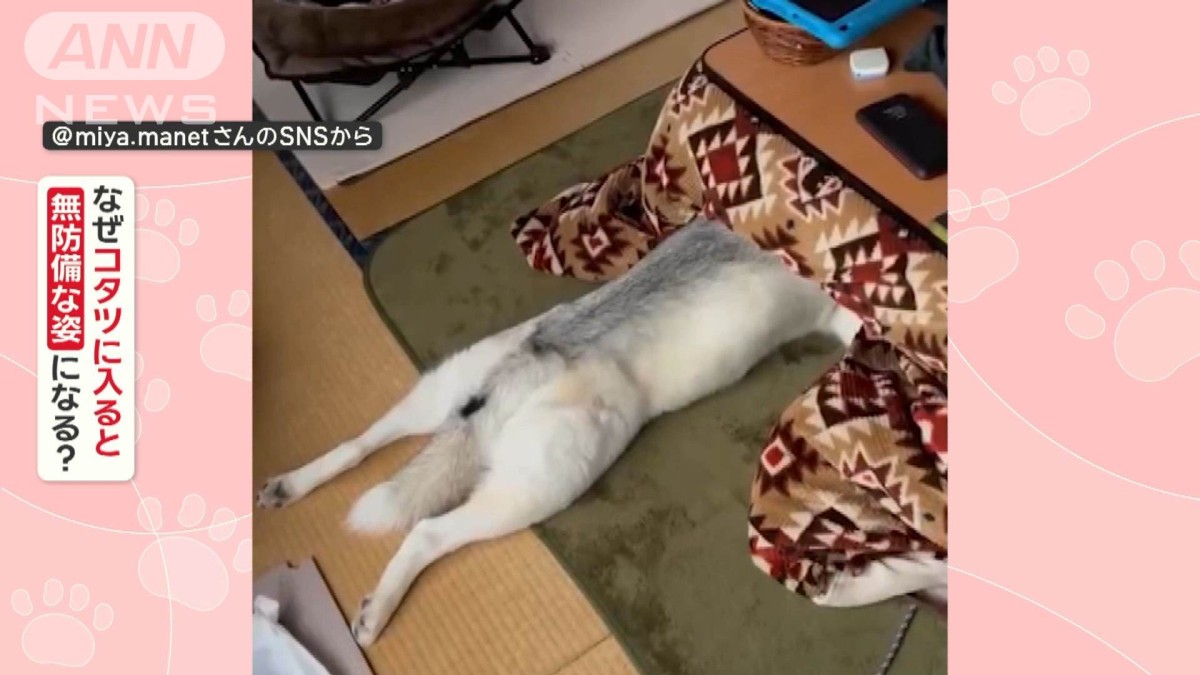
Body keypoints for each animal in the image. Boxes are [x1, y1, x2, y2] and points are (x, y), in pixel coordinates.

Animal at [256, 218, 865, 646]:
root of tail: (532, 365)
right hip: (543, 480)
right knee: (427, 532)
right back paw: (376, 612)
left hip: (442, 390)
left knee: (361, 444)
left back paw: (288, 486)